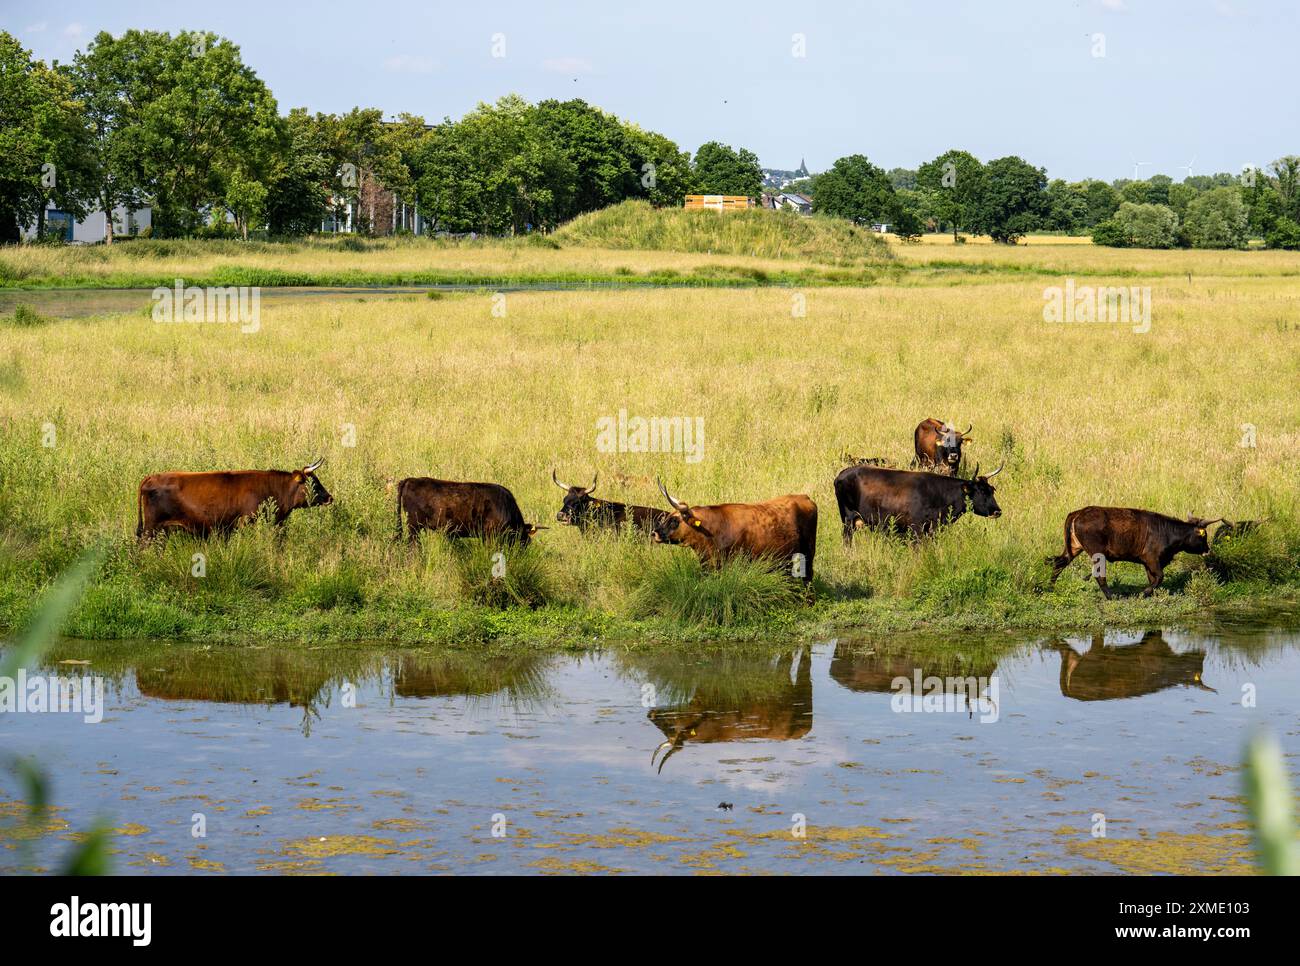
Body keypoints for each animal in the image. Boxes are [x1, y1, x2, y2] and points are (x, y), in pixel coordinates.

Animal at [832, 462, 1003, 543]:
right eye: (981, 491)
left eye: (992, 490)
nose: (997, 511)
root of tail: (842, 474)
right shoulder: (917, 528)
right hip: (848, 519)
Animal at [1045, 507, 1216, 598]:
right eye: (1203, 536)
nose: (1208, 550)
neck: (1168, 532)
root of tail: (1078, 512)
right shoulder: (1152, 558)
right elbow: (1160, 577)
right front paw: (1144, 593)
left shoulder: (1148, 563)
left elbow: (1153, 578)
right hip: (1097, 553)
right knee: (1099, 575)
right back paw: (1111, 597)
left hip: (1073, 548)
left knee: (1059, 563)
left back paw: (1050, 588)